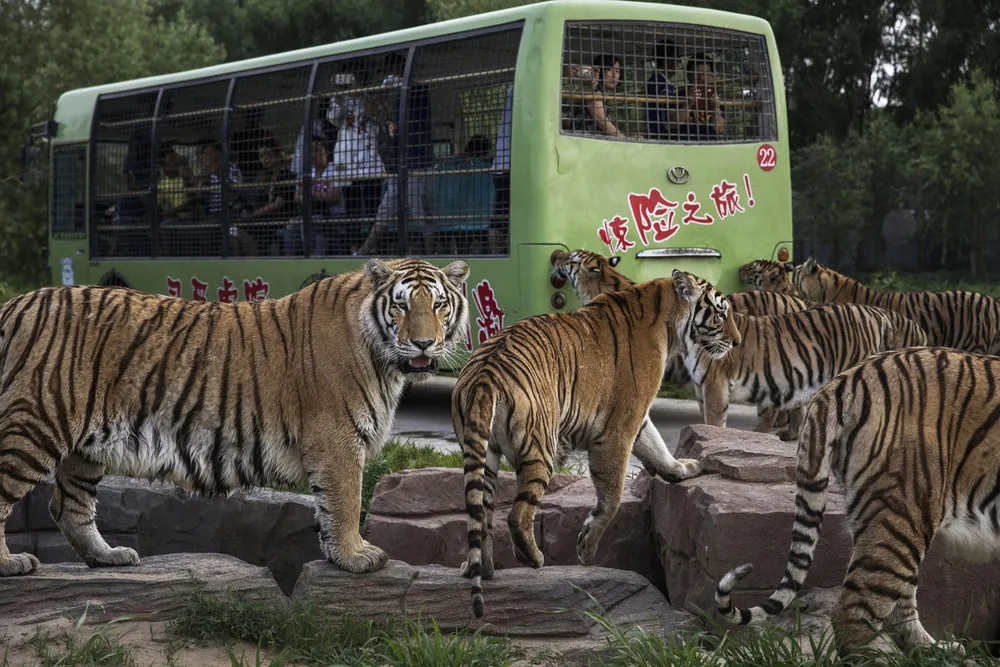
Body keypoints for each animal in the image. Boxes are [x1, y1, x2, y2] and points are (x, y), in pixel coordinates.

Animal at [0, 257, 470, 577]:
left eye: (439, 305)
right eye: (402, 307)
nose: (425, 344)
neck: (384, 359)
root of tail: (15, 304)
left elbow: (329, 506)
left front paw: (339, 554)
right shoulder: (337, 438)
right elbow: (347, 501)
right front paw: (356, 556)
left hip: (86, 444)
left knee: (68, 505)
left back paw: (109, 557)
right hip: (33, 423)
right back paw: (12, 563)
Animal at [452, 270, 741, 619]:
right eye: (721, 313)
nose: (738, 342)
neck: (667, 317)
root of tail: (484, 374)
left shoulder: (637, 421)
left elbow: (657, 446)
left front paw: (683, 468)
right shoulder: (618, 428)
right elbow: (611, 498)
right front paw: (587, 548)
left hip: (483, 455)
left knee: (481, 515)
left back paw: (482, 569)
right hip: (540, 447)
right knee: (517, 514)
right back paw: (532, 559)